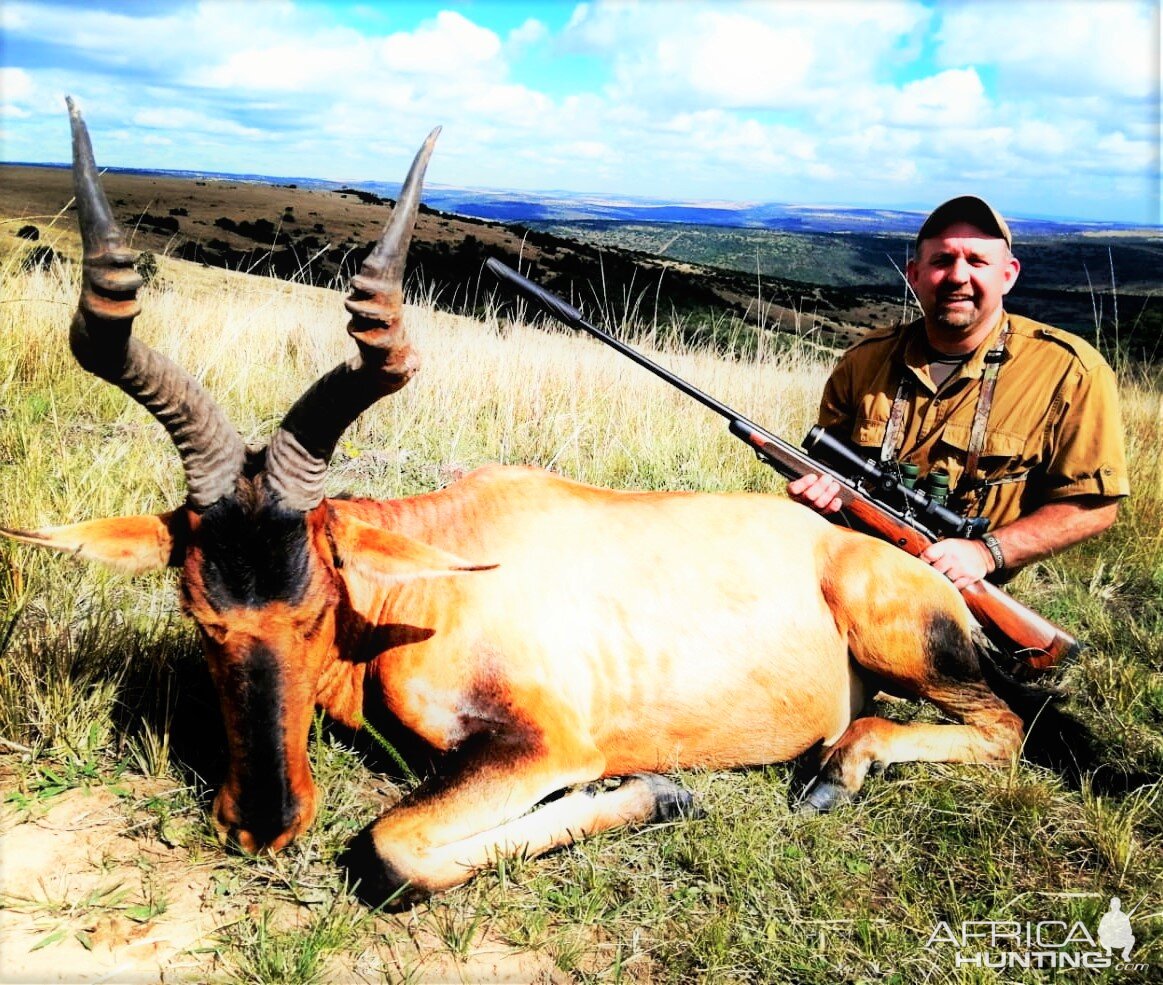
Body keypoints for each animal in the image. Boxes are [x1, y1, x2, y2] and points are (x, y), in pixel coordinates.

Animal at [2, 100, 1056, 907]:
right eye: (198, 611)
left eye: (315, 602)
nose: (262, 824)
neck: (435, 577)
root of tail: (918, 561)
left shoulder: (544, 743)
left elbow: (391, 849)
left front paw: (661, 790)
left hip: (909, 645)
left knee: (1002, 732)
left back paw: (835, 772)